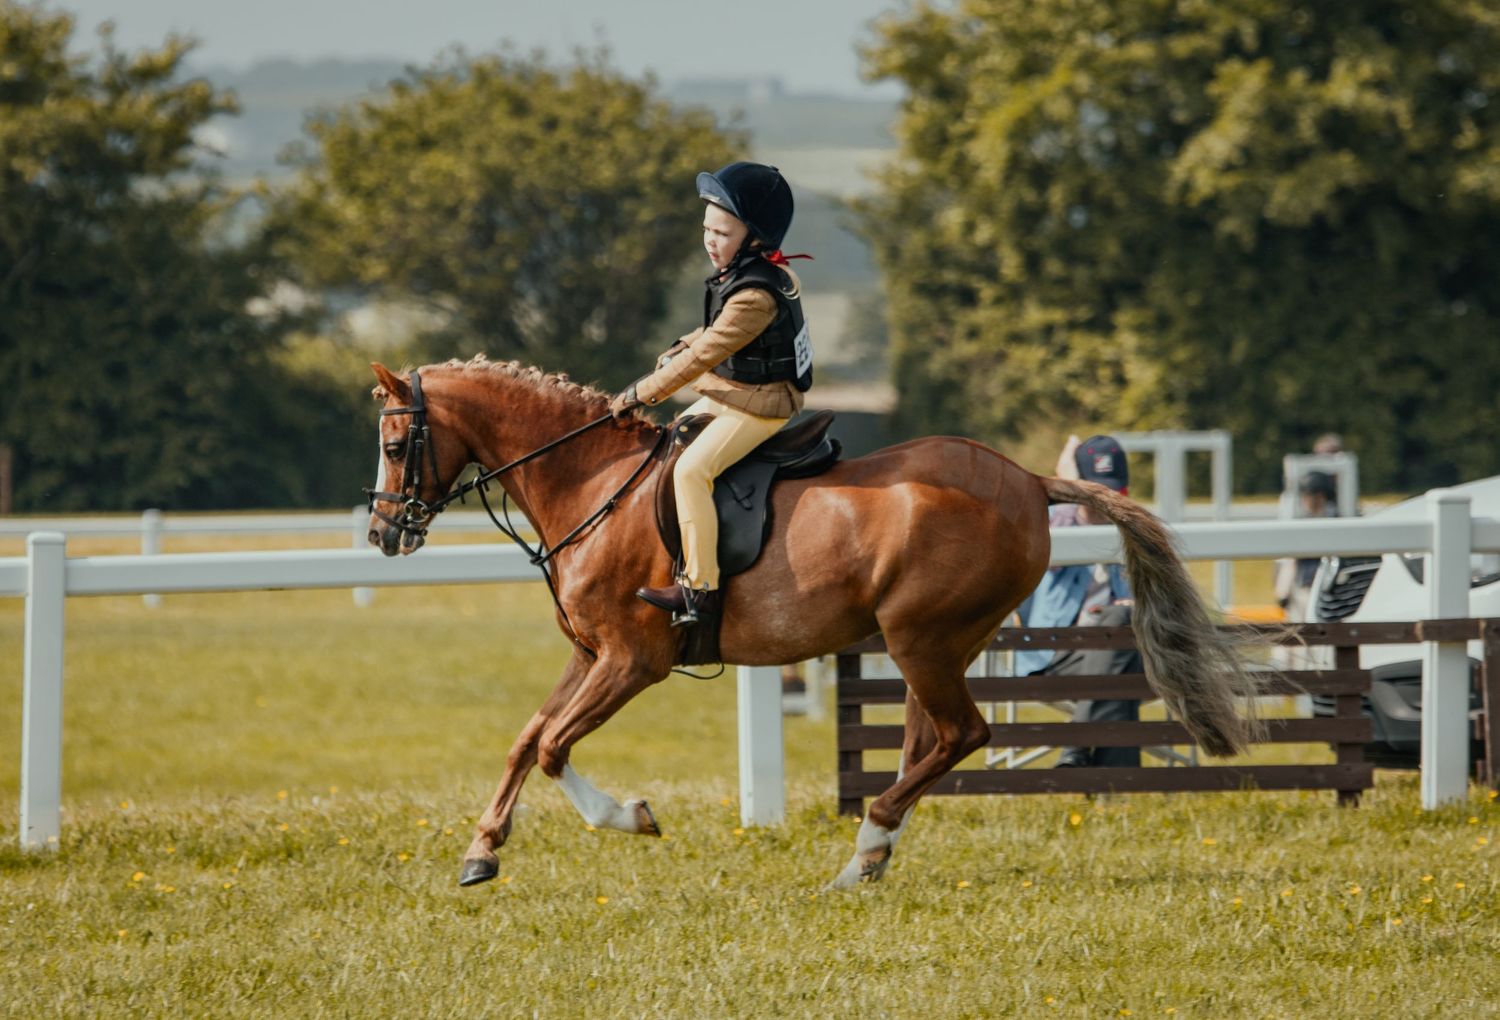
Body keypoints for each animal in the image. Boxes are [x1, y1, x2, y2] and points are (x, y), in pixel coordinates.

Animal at [365, 355, 1253, 889]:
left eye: (398, 443)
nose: (381, 534)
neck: (595, 483)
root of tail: (1029, 480)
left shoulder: (631, 661)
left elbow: (554, 747)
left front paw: (633, 817)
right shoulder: (590, 654)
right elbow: (526, 740)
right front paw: (481, 851)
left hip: (922, 639)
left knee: (962, 736)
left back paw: (866, 848)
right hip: (932, 646)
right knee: (929, 742)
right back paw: (872, 857)